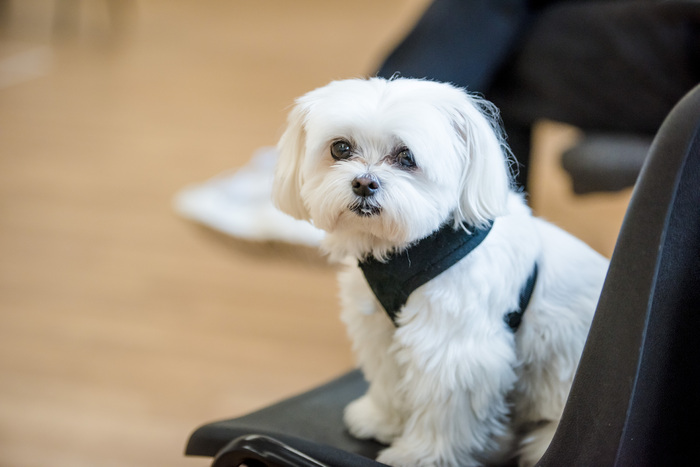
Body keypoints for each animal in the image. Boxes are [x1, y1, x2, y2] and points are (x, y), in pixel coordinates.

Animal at [270, 77, 608, 467]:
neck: (406, 248)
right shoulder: (382, 330)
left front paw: (419, 455)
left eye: (407, 157)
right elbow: (390, 380)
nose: (364, 183)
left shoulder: (454, 352)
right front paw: (381, 420)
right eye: (340, 148)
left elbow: (443, 412)